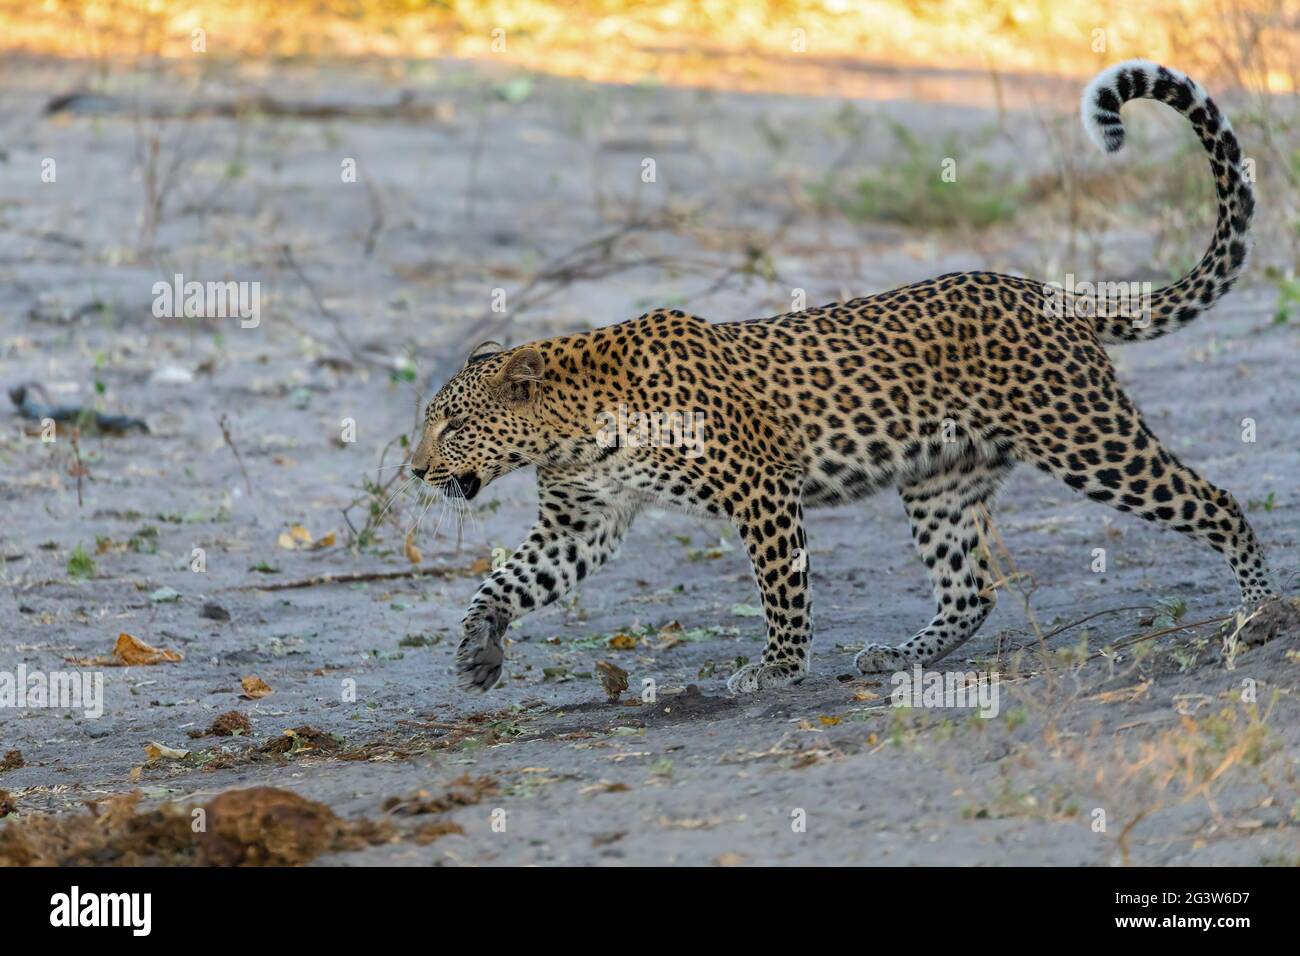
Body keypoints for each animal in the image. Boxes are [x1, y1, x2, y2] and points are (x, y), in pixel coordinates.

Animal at [410, 63, 1274, 697]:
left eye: (454, 424)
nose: (415, 470)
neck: (574, 432)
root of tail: (1048, 294)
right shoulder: (579, 523)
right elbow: (503, 582)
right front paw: (477, 651)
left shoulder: (761, 486)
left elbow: (781, 586)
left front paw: (778, 667)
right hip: (941, 480)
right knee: (970, 590)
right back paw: (899, 655)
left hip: (1088, 439)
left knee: (1218, 500)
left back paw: (1260, 614)